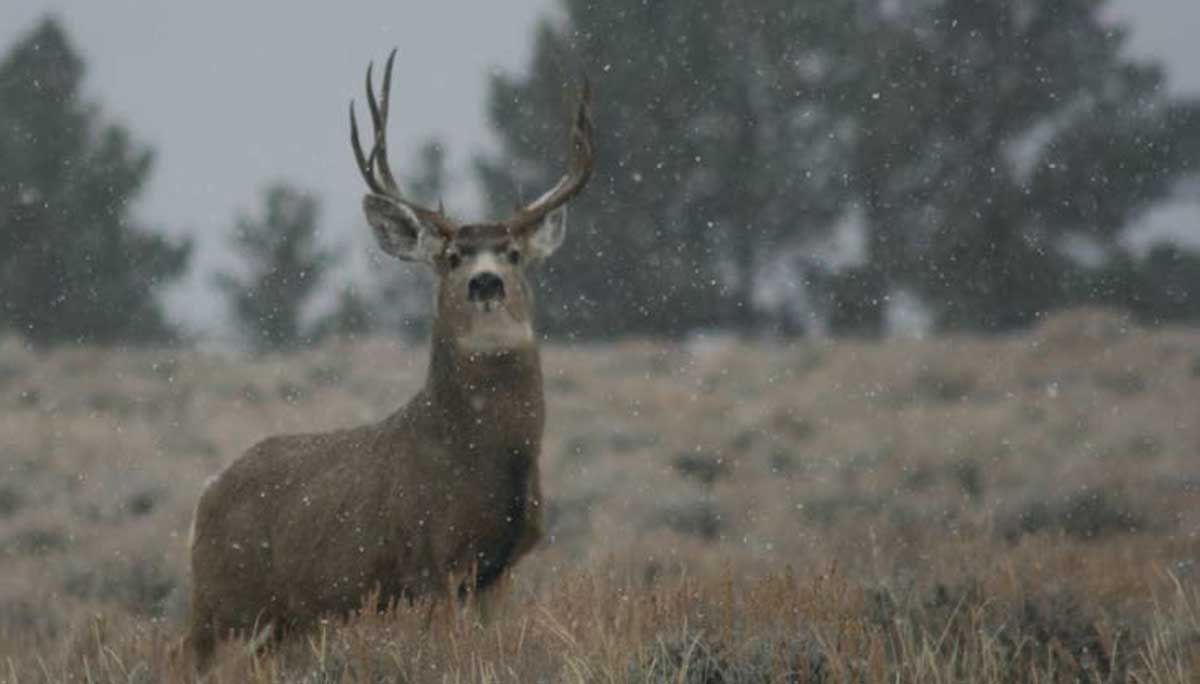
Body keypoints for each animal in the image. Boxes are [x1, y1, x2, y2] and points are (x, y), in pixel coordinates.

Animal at [187, 49, 594, 668]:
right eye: (451, 256)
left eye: (513, 253)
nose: (485, 283)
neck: (484, 458)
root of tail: (205, 495)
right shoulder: (430, 559)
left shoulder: (500, 570)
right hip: (220, 604)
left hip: (284, 620)